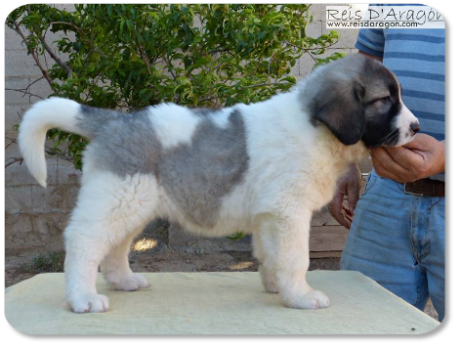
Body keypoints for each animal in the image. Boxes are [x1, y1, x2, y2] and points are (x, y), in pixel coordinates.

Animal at [18, 54, 420, 312]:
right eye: (385, 100)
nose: (416, 128)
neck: (315, 127)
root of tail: (115, 121)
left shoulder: (269, 216)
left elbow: (270, 254)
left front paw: (277, 287)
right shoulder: (288, 212)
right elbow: (296, 257)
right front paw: (301, 296)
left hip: (132, 201)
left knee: (116, 244)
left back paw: (123, 281)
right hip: (119, 195)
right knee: (85, 241)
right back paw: (82, 298)